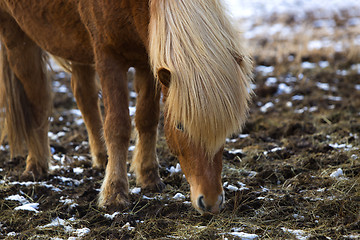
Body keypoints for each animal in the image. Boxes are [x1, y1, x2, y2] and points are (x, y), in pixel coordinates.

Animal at [0, 0, 252, 214]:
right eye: (180, 126)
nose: (211, 202)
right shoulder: (109, 58)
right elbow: (118, 126)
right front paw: (114, 194)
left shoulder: (147, 61)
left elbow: (147, 119)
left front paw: (149, 177)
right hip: (17, 33)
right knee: (37, 98)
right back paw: (36, 165)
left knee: (84, 95)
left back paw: (101, 158)